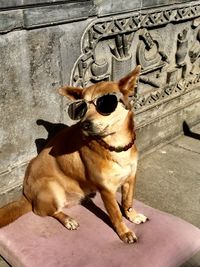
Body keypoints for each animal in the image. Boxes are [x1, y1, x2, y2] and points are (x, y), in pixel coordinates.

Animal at [0, 66, 148, 244]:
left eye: (105, 104)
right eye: (80, 108)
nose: (84, 124)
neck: (115, 146)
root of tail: (26, 196)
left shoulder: (131, 178)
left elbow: (127, 201)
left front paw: (133, 216)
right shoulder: (106, 190)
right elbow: (116, 214)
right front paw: (124, 232)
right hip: (52, 187)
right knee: (46, 212)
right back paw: (67, 219)